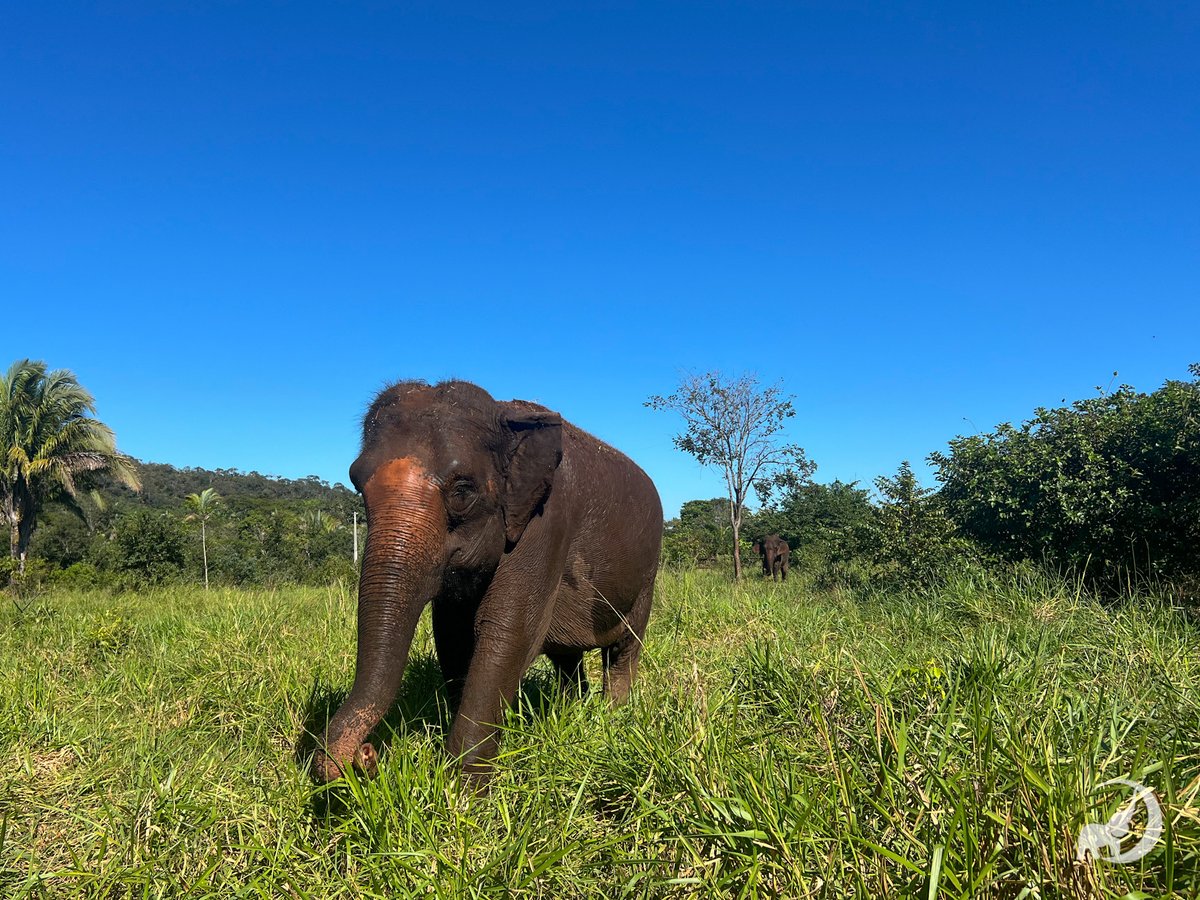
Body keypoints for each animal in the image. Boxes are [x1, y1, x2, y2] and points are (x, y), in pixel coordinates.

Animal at [314, 380, 663, 785]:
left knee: (624, 650)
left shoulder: (548, 520)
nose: (365, 754)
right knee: (567, 658)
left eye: (462, 491)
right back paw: (570, 710)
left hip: (647, 575)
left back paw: (612, 715)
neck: (503, 412)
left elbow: (506, 630)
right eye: (357, 485)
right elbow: (452, 633)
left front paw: (461, 789)